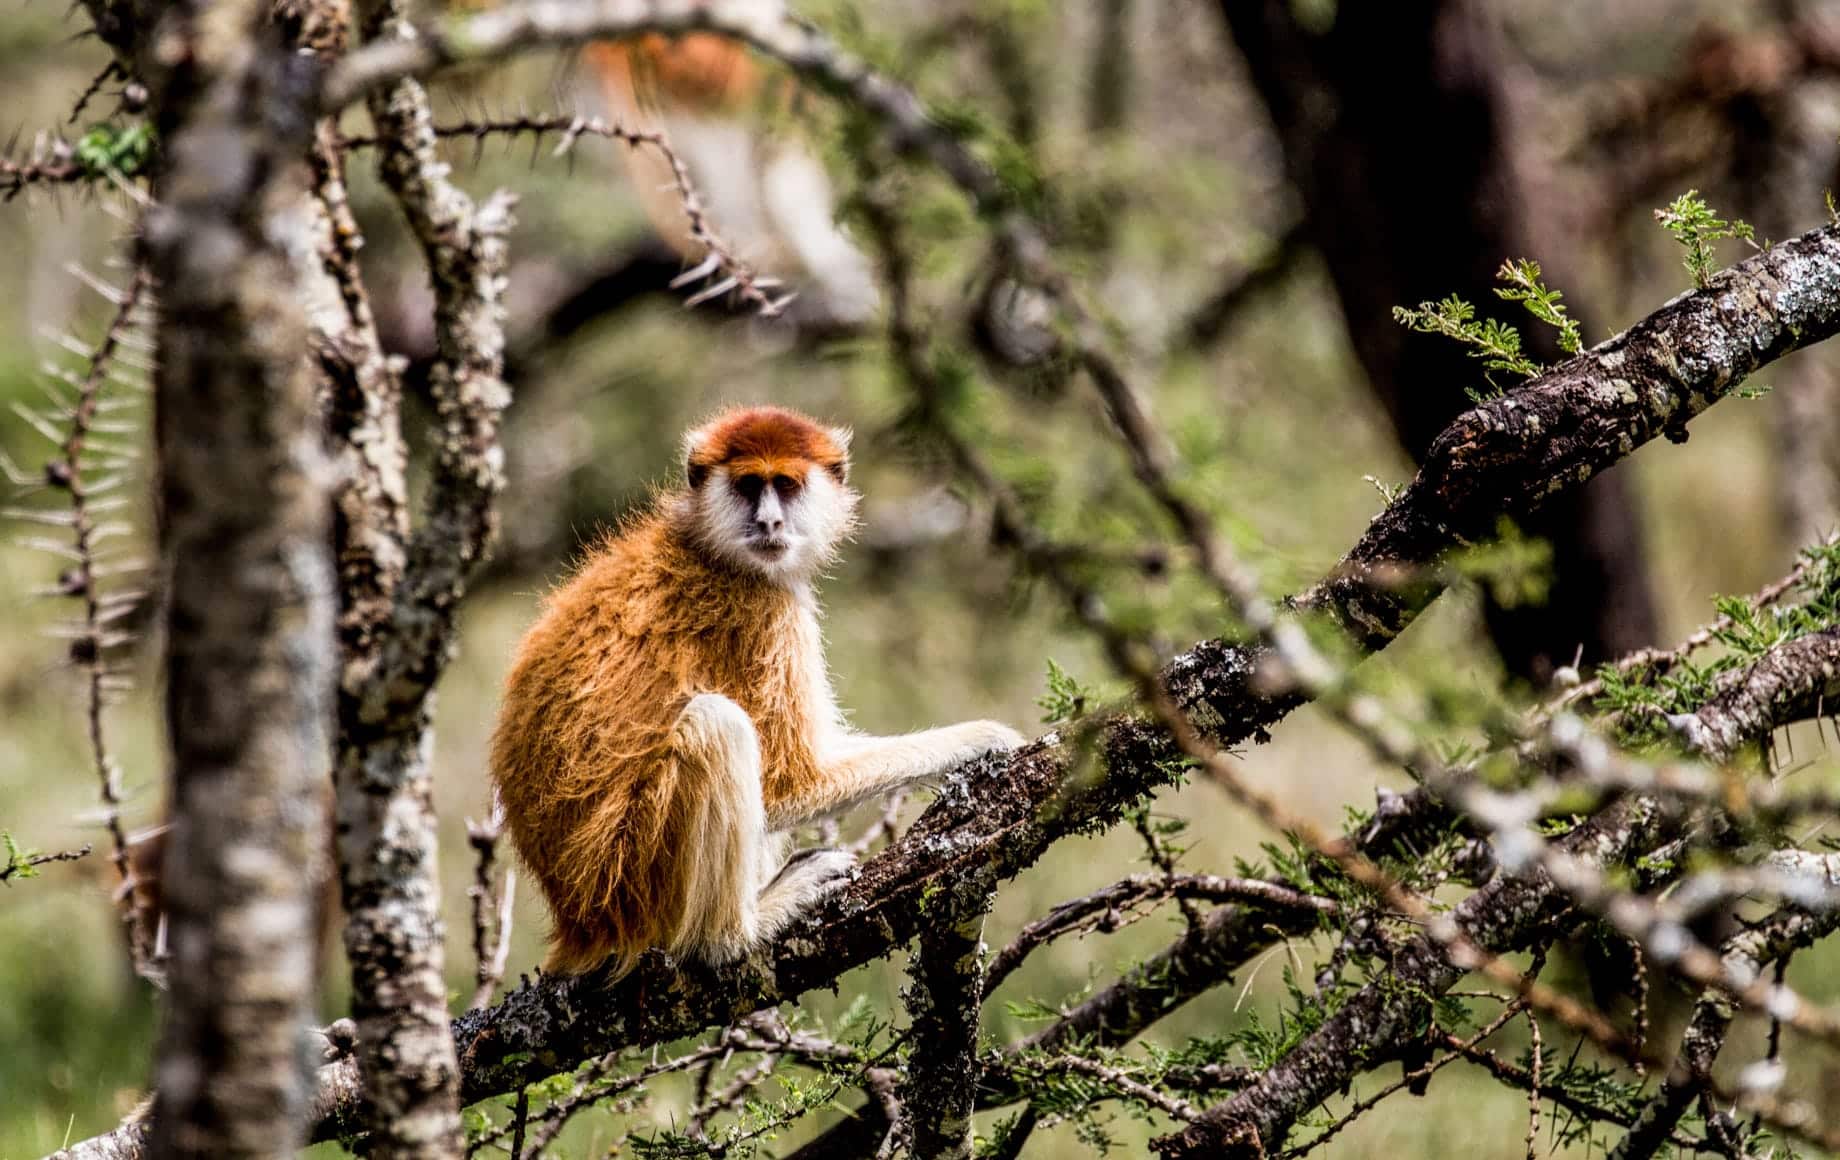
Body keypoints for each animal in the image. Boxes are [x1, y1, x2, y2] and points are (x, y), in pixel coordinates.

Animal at [489, 405, 1023, 979]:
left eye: (785, 485)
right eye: (748, 485)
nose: (769, 522)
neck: (708, 546)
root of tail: (579, 922)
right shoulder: (765, 613)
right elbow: (793, 782)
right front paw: (983, 739)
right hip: (637, 878)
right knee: (716, 724)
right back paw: (733, 935)